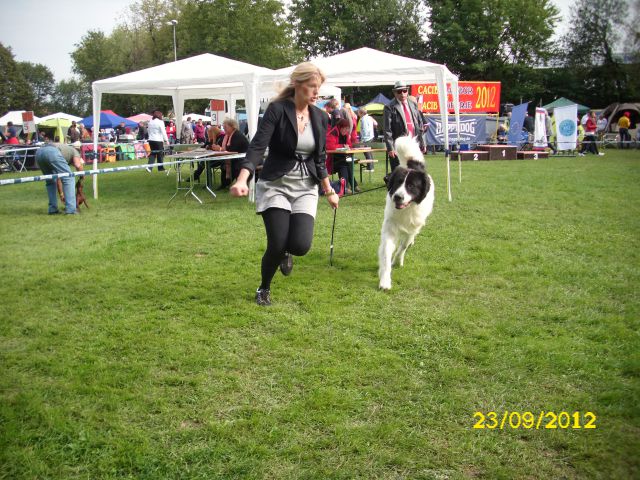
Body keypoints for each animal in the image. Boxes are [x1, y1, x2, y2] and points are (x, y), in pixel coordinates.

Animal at [378, 137, 432, 290]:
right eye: (397, 183)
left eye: (411, 186)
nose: (397, 197)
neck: (405, 210)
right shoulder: (389, 228)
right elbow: (386, 253)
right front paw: (385, 280)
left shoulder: (412, 229)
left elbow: (403, 246)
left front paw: (397, 260)